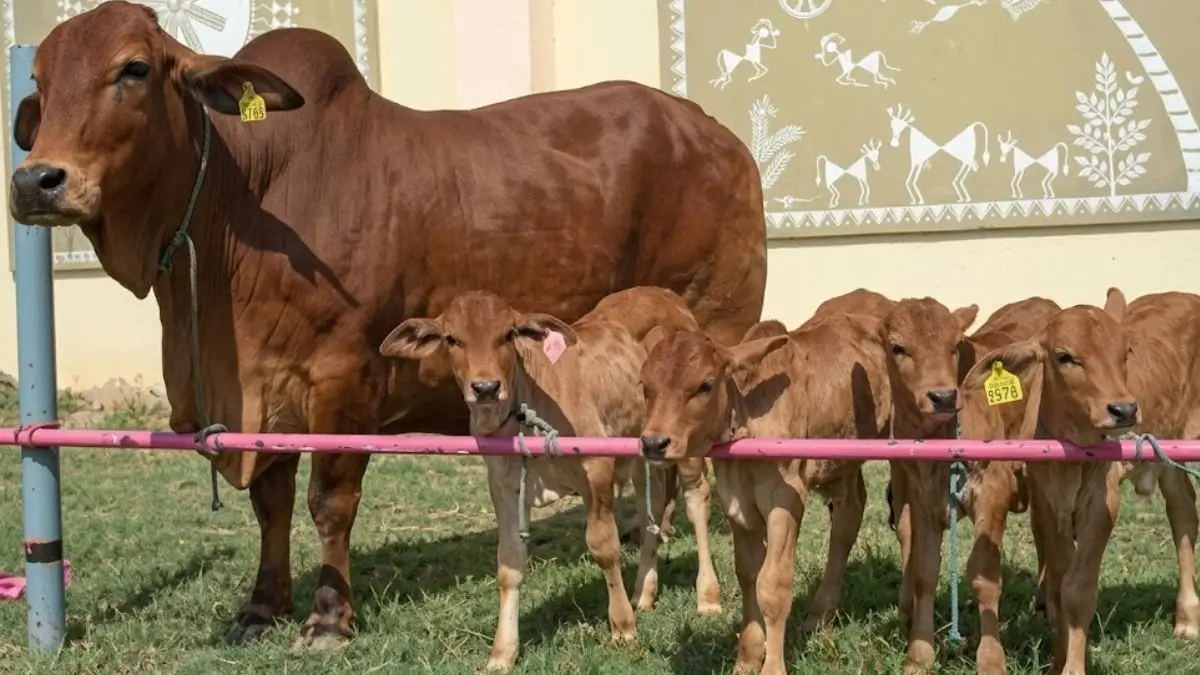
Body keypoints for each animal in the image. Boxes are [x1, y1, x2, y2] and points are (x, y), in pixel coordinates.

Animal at [379, 287, 720, 671]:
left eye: (508, 334)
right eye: (452, 338)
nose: (485, 387)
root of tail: (666, 295)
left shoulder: (596, 470)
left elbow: (604, 548)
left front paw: (622, 627)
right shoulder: (503, 487)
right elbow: (509, 565)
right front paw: (502, 652)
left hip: (686, 447)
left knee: (697, 500)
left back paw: (708, 596)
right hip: (643, 449)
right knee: (656, 504)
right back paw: (644, 592)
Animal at [638, 313, 890, 675]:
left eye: (705, 385)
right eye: (644, 386)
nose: (654, 443)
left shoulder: (785, 500)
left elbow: (772, 585)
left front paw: (771, 666)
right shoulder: (736, 504)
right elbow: (748, 575)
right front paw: (746, 658)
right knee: (849, 515)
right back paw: (820, 614)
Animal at [958, 293, 1137, 675]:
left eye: (1125, 351)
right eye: (1065, 356)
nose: (1124, 410)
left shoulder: (1103, 507)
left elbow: (1079, 590)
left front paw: (1071, 664)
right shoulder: (1050, 507)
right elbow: (1060, 578)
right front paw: (1059, 658)